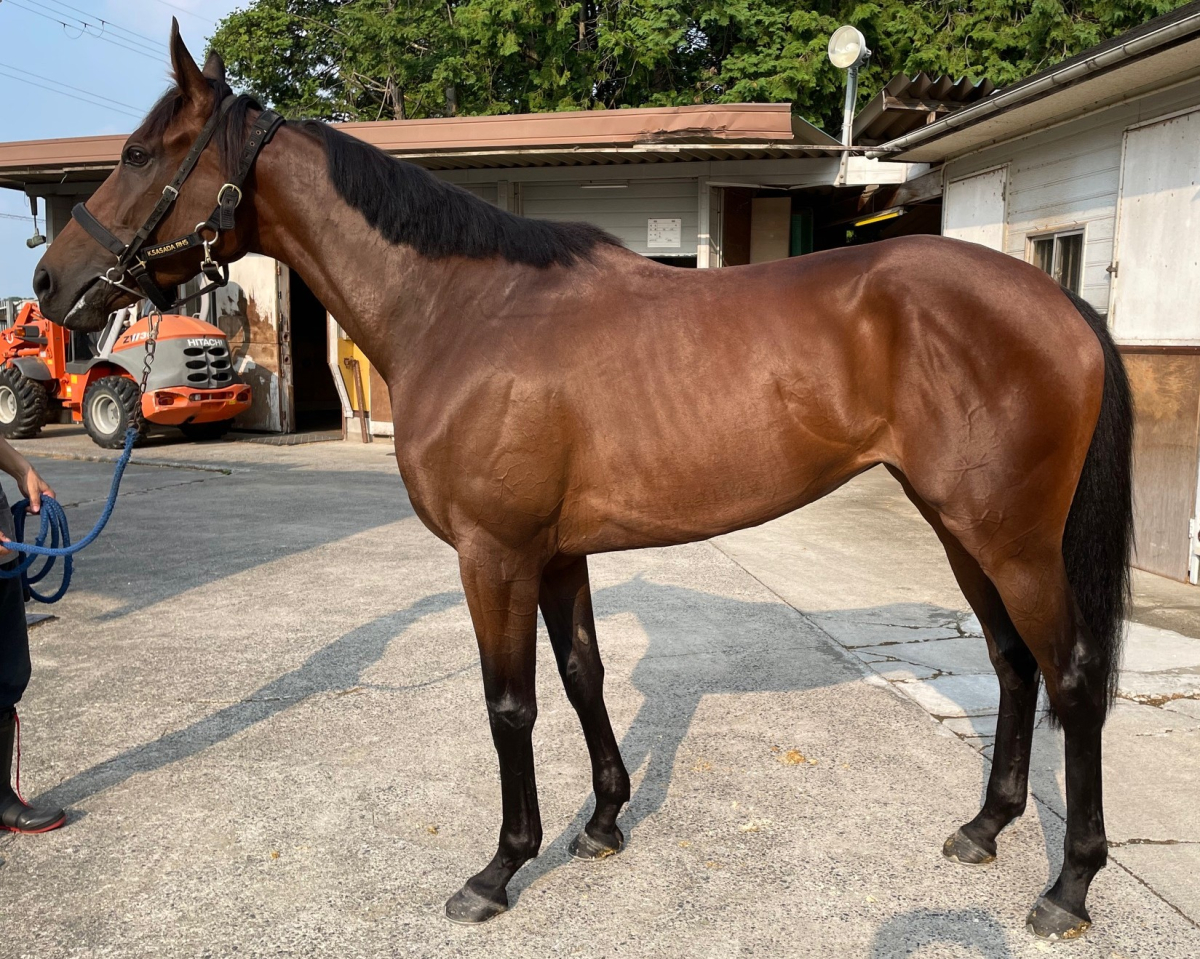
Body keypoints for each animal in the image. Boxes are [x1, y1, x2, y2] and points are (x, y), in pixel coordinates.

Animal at [33, 23, 1132, 941]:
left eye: (139, 156)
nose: (49, 284)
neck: (464, 310)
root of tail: (1063, 305)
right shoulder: (556, 554)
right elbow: (581, 675)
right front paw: (603, 819)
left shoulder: (495, 555)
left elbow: (509, 705)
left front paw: (498, 869)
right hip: (961, 526)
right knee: (1012, 664)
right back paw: (985, 827)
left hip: (1011, 537)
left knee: (1074, 678)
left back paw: (1069, 884)